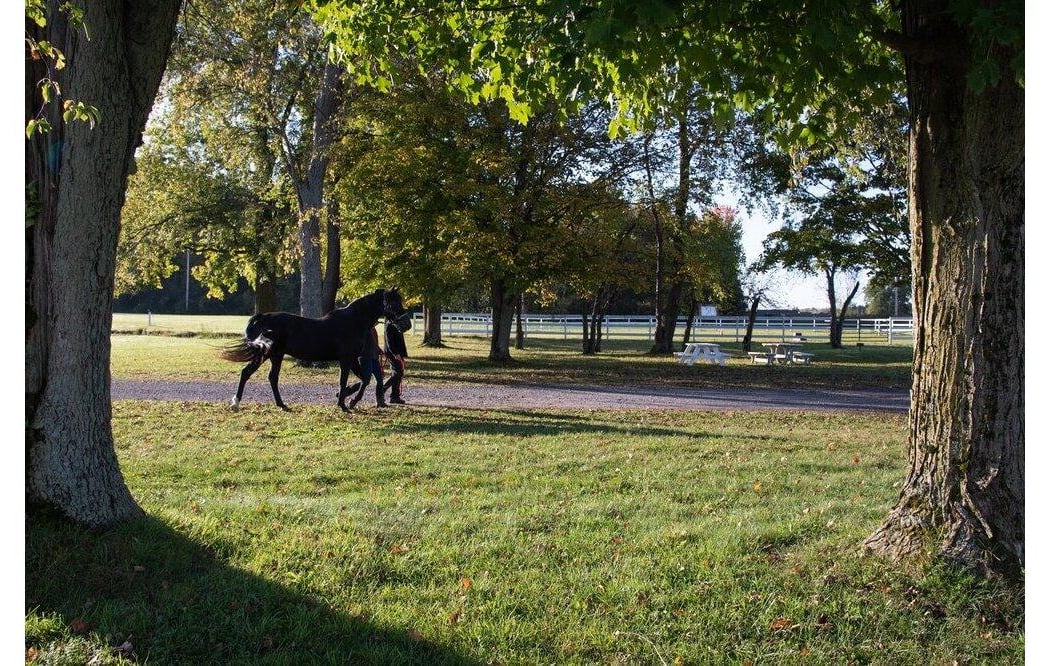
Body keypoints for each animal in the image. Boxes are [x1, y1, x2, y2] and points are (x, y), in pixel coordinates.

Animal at [219, 288, 406, 412]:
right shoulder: (346, 359)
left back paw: (279, 404)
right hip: (267, 354)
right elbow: (345, 380)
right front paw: (343, 404)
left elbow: (364, 379)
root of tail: (262, 317)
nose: (405, 323)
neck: (353, 321)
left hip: (274, 355)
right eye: (394, 302)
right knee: (251, 374)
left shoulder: (352, 359)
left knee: (266, 376)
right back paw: (237, 403)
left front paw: (349, 398)